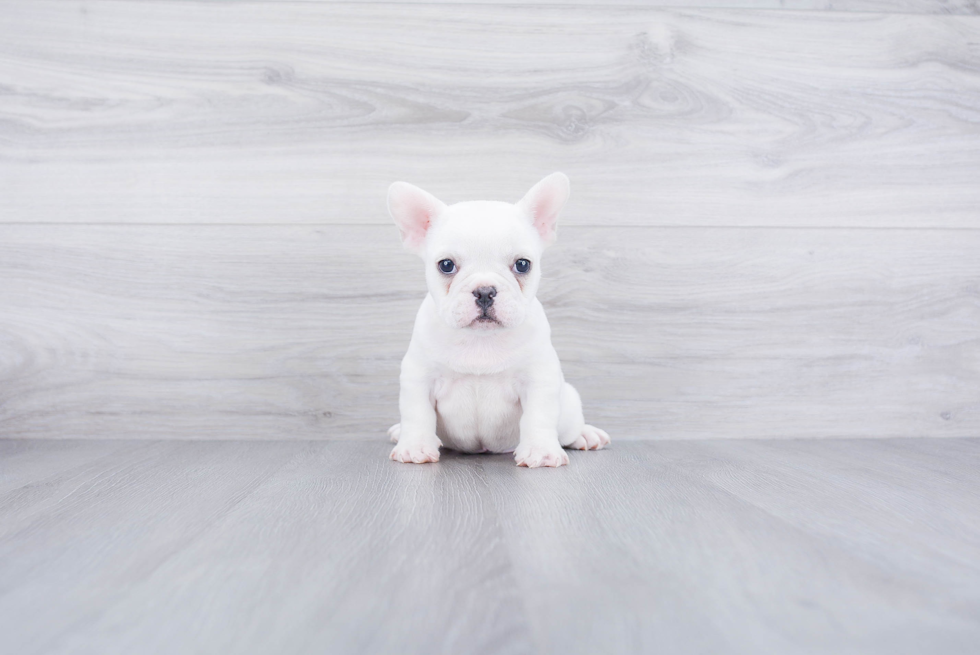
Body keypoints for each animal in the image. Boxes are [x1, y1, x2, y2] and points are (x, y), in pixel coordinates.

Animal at [384, 172, 608, 468]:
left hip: (568, 406)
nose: (484, 291)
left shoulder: (539, 378)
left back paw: (586, 434)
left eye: (523, 264)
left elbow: (538, 416)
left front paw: (540, 451)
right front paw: (415, 446)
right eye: (446, 265)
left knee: (569, 428)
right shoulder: (419, 377)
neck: (481, 339)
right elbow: (417, 413)